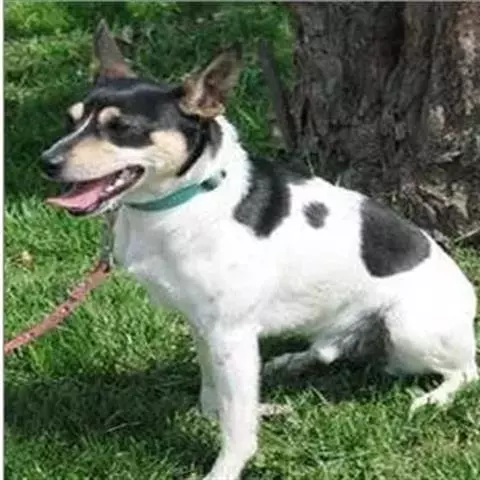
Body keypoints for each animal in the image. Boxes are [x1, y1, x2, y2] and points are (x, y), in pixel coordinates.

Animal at [42, 20, 478, 480]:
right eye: (70, 120)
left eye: (121, 128)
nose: (46, 162)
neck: (185, 199)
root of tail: (468, 297)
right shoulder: (204, 326)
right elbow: (215, 391)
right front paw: (220, 414)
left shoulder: (230, 334)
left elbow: (237, 422)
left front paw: (226, 467)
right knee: (328, 350)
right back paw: (293, 361)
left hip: (409, 329)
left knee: (466, 371)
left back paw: (433, 397)